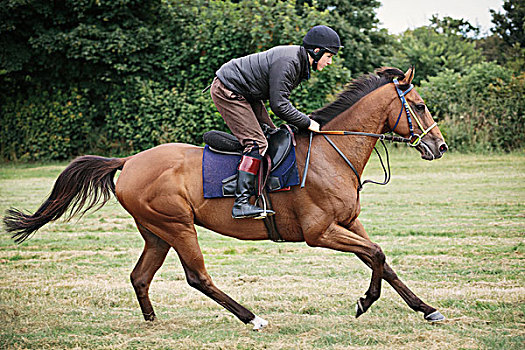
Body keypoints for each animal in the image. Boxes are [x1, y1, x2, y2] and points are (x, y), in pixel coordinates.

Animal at [3, 67, 446, 330]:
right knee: (197, 277)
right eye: (421, 106)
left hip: (156, 232)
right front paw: (365, 301)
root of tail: (128, 161)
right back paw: (252, 318)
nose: (439, 147)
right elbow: (376, 256)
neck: (330, 153)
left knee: (140, 276)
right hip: (177, 226)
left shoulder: (348, 223)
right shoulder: (320, 232)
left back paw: (152, 321)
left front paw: (426, 308)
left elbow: (382, 261)